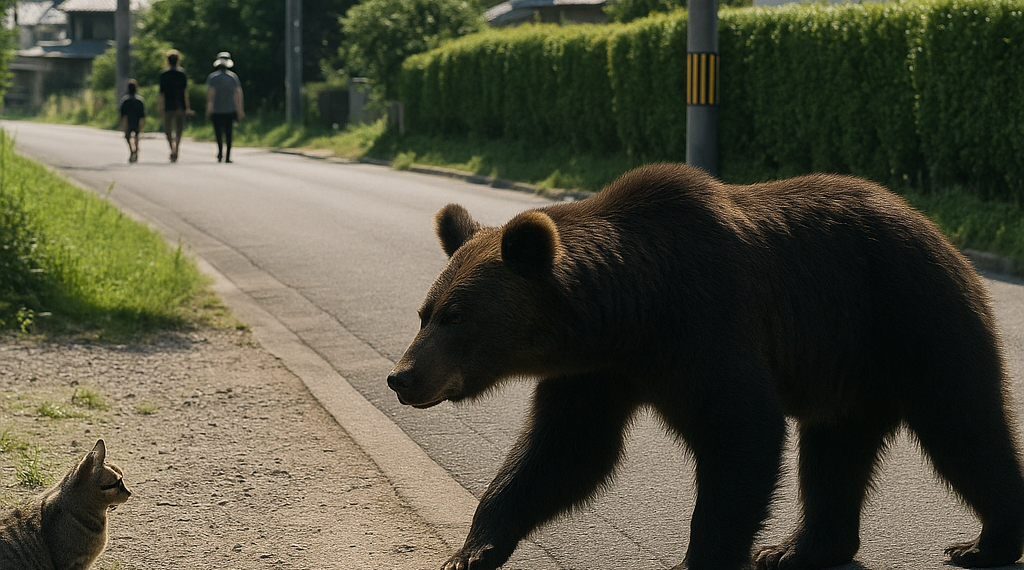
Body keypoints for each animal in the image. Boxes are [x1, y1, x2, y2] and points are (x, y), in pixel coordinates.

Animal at [386, 163, 1024, 570]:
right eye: (425, 312)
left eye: (456, 316)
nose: (402, 376)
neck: (631, 311)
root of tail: (934, 229)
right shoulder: (596, 373)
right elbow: (562, 451)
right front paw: (471, 550)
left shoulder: (705, 325)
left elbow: (740, 431)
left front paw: (704, 555)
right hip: (845, 366)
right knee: (835, 450)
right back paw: (799, 549)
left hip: (911, 318)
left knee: (963, 425)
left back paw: (983, 544)